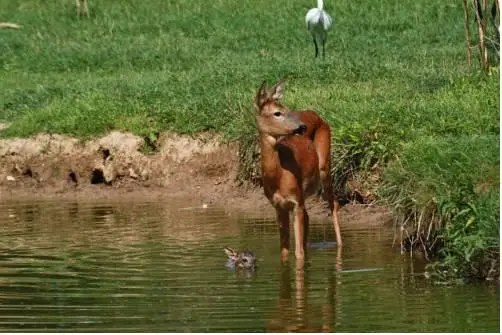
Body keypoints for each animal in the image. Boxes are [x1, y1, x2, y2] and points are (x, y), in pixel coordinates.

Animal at [255, 78, 342, 262]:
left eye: (287, 109)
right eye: (277, 113)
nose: (301, 127)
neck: (278, 176)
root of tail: (314, 114)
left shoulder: (296, 201)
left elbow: (298, 254)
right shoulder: (278, 206)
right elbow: (284, 251)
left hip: (324, 166)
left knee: (334, 204)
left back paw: (339, 247)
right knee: (309, 217)